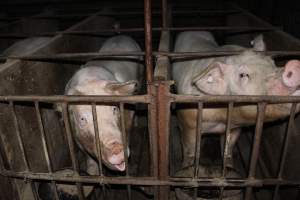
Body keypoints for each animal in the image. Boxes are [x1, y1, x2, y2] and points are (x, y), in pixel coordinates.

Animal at [62, 34, 143, 172]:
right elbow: (89, 158)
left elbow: (127, 128)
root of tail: (122, 35)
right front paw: (92, 172)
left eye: (115, 109)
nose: (117, 148)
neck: (91, 80)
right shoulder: (77, 137)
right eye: (82, 119)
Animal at [171, 31, 300, 168]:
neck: (221, 117)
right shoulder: (188, 122)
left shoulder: (235, 127)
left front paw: (229, 166)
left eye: (273, 63)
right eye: (243, 75)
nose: (295, 64)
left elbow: (228, 148)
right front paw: (187, 166)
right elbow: (190, 150)